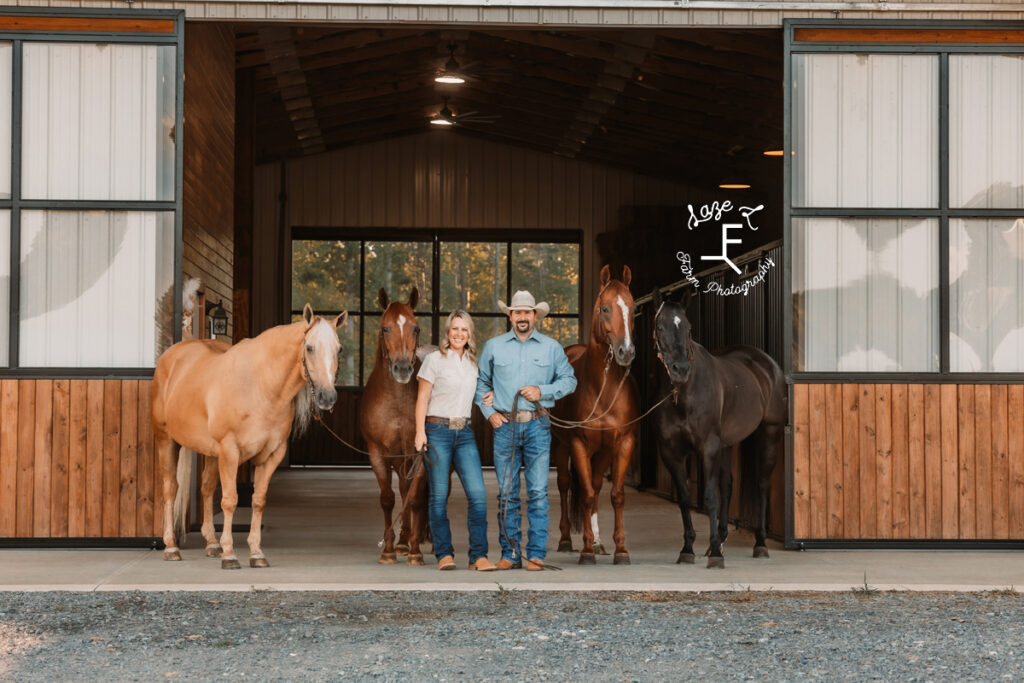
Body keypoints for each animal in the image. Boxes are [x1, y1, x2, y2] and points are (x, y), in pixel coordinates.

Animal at [149, 303, 346, 565]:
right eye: (309, 347)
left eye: (339, 349)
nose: (327, 397)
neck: (260, 386)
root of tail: (170, 356)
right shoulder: (230, 450)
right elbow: (230, 500)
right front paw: (230, 554)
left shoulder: (271, 454)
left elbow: (258, 501)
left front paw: (256, 553)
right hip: (167, 441)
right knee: (171, 488)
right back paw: (171, 547)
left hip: (211, 452)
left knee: (207, 488)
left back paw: (212, 543)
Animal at [358, 286, 430, 565]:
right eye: (385, 328)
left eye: (416, 328)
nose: (402, 368)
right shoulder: (378, 453)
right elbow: (388, 498)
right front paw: (388, 551)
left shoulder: (418, 452)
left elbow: (417, 498)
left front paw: (415, 552)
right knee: (402, 489)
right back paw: (402, 541)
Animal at [557, 264, 634, 565]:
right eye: (605, 308)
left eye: (633, 308)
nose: (626, 352)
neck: (602, 389)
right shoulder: (579, 444)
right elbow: (587, 495)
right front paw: (586, 550)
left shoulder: (622, 444)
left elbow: (616, 495)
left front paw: (620, 549)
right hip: (561, 446)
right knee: (565, 485)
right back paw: (566, 540)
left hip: (601, 453)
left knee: (599, 485)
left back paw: (600, 542)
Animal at [651, 286, 786, 569]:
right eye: (659, 326)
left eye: (688, 328)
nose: (680, 369)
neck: (684, 394)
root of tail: (766, 363)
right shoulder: (671, 451)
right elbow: (684, 497)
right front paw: (688, 549)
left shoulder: (708, 447)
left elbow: (710, 497)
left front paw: (714, 554)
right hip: (727, 443)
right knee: (728, 485)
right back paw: (723, 539)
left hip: (768, 434)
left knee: (762, 484)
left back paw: (760, 543)